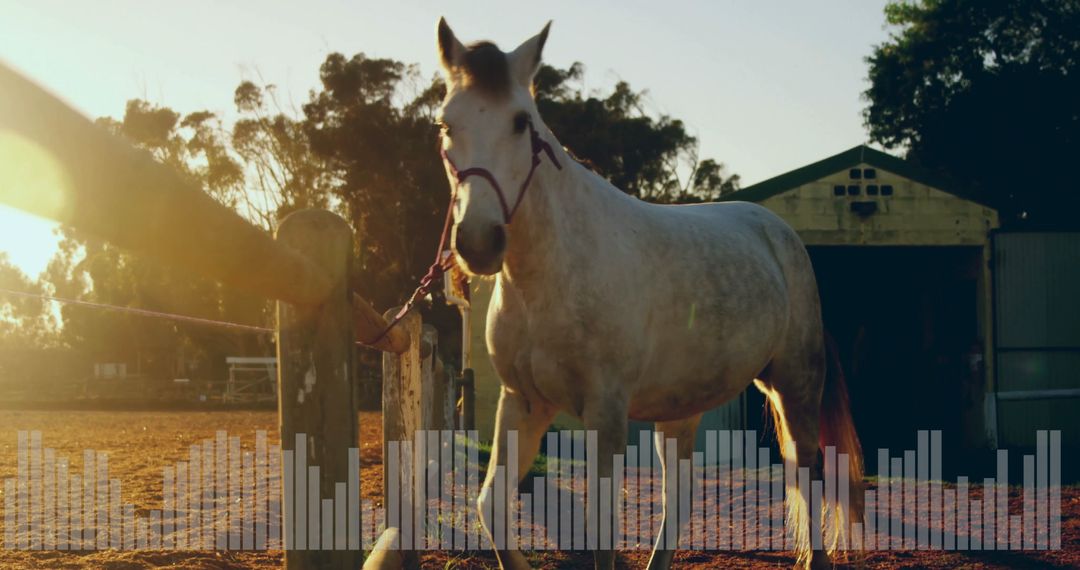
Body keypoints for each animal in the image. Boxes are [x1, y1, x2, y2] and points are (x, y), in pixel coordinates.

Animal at [434, 18, 863, 570]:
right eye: (447, 125)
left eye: (520, 122)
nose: (478, 242)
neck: (551, 273)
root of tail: (779, 233)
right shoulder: (523, 403)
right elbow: (491, 507)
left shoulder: (606, 412)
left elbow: (601, 532)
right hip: (680, 410)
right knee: (680, 494)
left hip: (795, 385)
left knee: (807, 471)